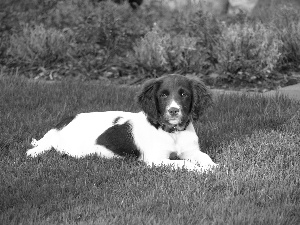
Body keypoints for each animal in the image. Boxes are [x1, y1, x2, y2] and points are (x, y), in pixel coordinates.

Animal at [26, 74, 218, 172]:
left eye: (184, 94)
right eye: (163, 95)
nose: (173, 111)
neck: (173, 133)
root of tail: (64, 123)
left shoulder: (192, 151)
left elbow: (205, 157)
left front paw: (213, 167)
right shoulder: (155, 159)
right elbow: (183, 163)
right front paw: (200, 170)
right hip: (73, 149)